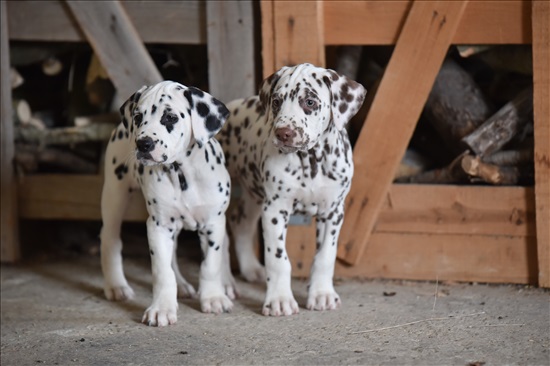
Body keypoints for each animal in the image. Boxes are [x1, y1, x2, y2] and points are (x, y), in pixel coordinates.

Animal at [101, 80, 237, 326]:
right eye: (138, 117)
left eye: (170, 118)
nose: (143, 144)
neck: (182, 173)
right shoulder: (158, 226)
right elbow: (162, 272)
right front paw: (161, 308)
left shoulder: (213, 224)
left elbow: (210, 265)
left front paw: (213, 298)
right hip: (115, 195)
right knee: (110, 240)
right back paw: (116, 285)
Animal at [219, 63, 366, 314]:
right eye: (277, 101)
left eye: (310, 102)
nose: (283, 133)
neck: (312, 161)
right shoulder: (275, 211)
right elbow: (278, 260)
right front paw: (279, 300)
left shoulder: (333, 212)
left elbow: (325, 257)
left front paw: (322, 294)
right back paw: (225, 282)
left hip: (254, 195)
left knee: (240, 223)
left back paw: (250, 269)